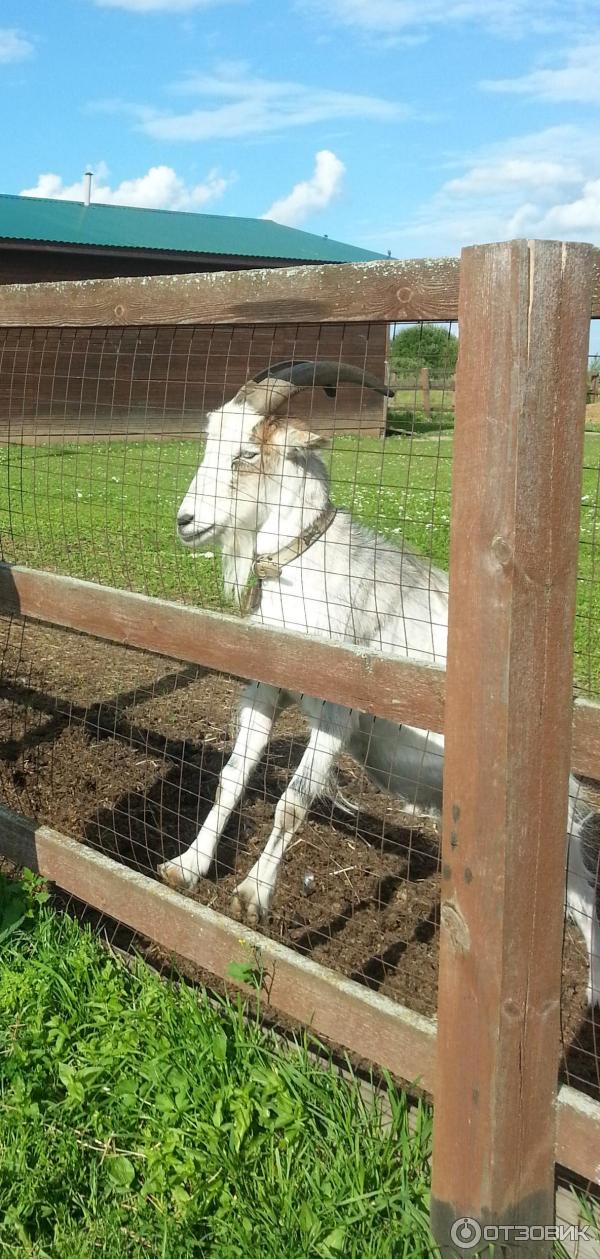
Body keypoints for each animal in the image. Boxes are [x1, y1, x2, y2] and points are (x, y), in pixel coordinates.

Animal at [159, 360, 598, 1007]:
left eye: (245, 454)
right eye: (209, 442)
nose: (186, 522)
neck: (309, 569)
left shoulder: (339, 710)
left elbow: (293, 802)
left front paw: (252, 896)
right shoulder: (268, 687)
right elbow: (231, 779)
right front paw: (186, 865)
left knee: (589, 906)